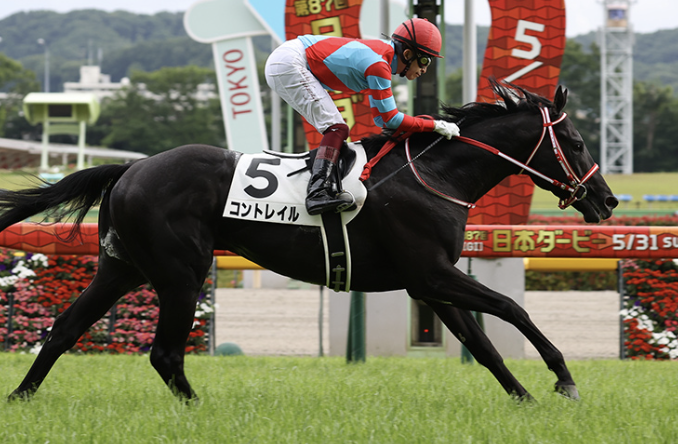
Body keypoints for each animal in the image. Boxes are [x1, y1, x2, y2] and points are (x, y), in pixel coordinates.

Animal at [2, 81, 617, 403]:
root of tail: (130, 169)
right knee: (164, 352)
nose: (607, 201)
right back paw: (198, 410)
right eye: (577, 141)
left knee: (64, 329)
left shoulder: (430, 281)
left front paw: (525, 398)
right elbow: (513, 309)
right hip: (182, 272)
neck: (436, 175)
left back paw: (21, 398)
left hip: (121, 267)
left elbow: (484, 345)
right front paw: (563, 379)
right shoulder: (433, 272)